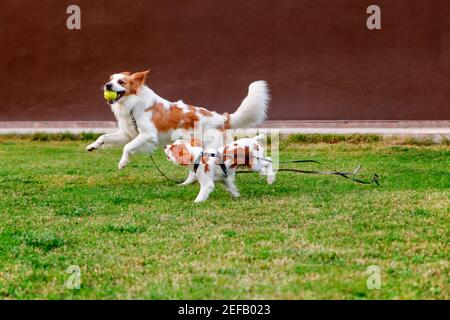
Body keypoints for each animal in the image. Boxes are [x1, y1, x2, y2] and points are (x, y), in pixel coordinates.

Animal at [86, 70, 268, 170]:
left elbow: (127, 147)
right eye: (110, 79)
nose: (107, 85)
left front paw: (123, 163)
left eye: (121, 81)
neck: (132, 103)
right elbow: (103, 136)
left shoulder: (147, 135)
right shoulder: (128, 133)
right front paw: (93, 146)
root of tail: (222, 118)